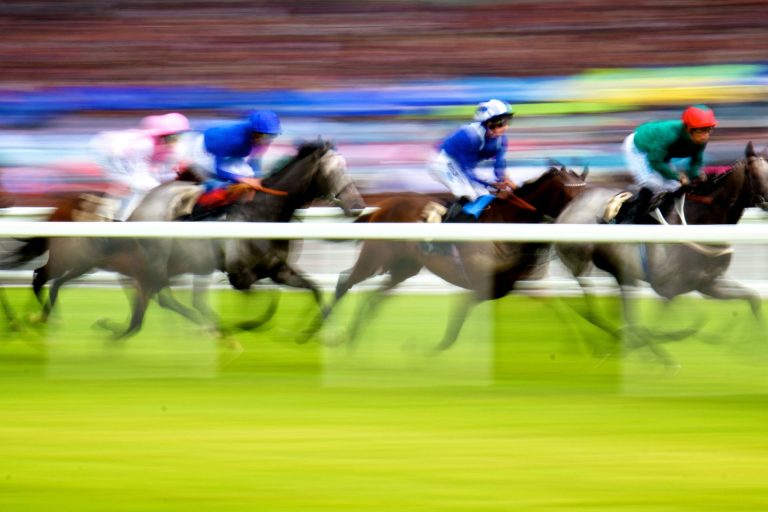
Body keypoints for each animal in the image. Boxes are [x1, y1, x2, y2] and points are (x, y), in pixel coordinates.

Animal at [13, 141, 368, 340]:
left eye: (347, 167)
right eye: (334, 170)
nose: (357, 205)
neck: (263, 212)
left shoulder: (277, 269)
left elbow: (314, 289)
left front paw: (316, 332)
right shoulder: (240, 275)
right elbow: (266, 302)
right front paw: (242, 326)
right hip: (96, 259)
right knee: (43, 277)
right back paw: (40, 320)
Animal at [326, 164, 588, 352]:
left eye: (587, 194)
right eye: (568, 195)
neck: (509, 225)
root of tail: (382, 205)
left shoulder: (519, 284)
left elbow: (562, 309)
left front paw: (585, 345)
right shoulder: (479, 287)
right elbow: (452, 331)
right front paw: (419, 351)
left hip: (405, 267)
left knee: (373, 297)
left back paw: (352, 339)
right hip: (375, 258)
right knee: (345, 282)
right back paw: (327, 331)